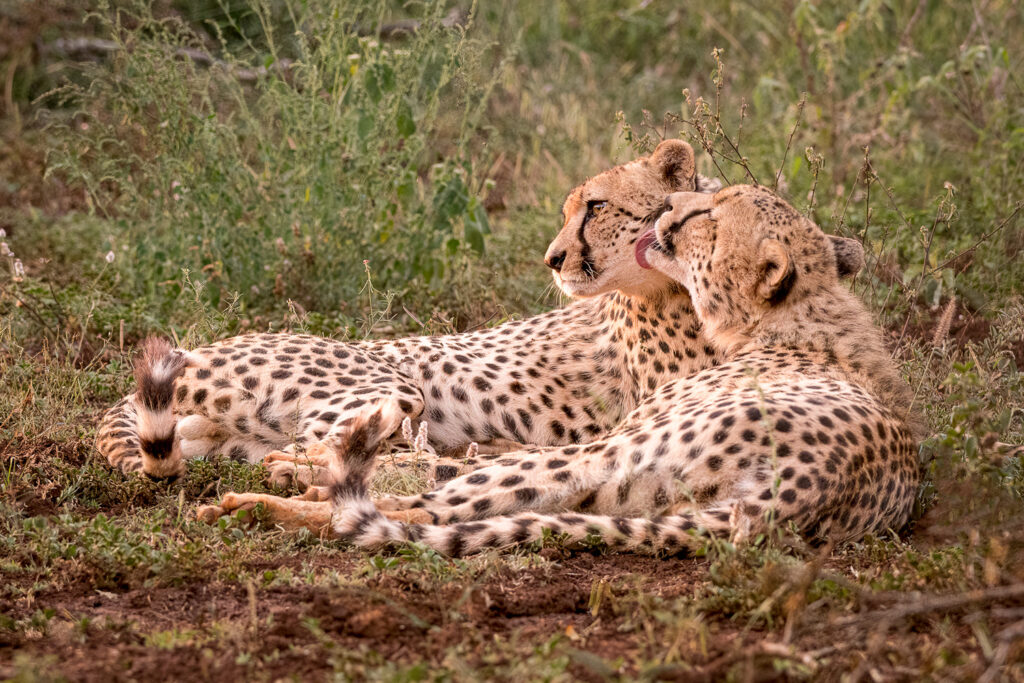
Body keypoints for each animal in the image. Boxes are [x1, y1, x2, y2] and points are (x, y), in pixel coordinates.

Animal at [97, 140, 738, 484]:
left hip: (232, 441)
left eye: (597, 207)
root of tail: (201, 350)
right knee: (329, 453)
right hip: (390, 388)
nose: (553, 259)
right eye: (567, 211)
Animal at [197, 183, 920, 558]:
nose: (668, 210)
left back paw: (260, 500)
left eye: (708, 217)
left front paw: (295, 470)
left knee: (410, 508)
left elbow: (440, 468)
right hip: (627, 489)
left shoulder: (609, 437)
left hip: (601, 461)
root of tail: (802, 495)